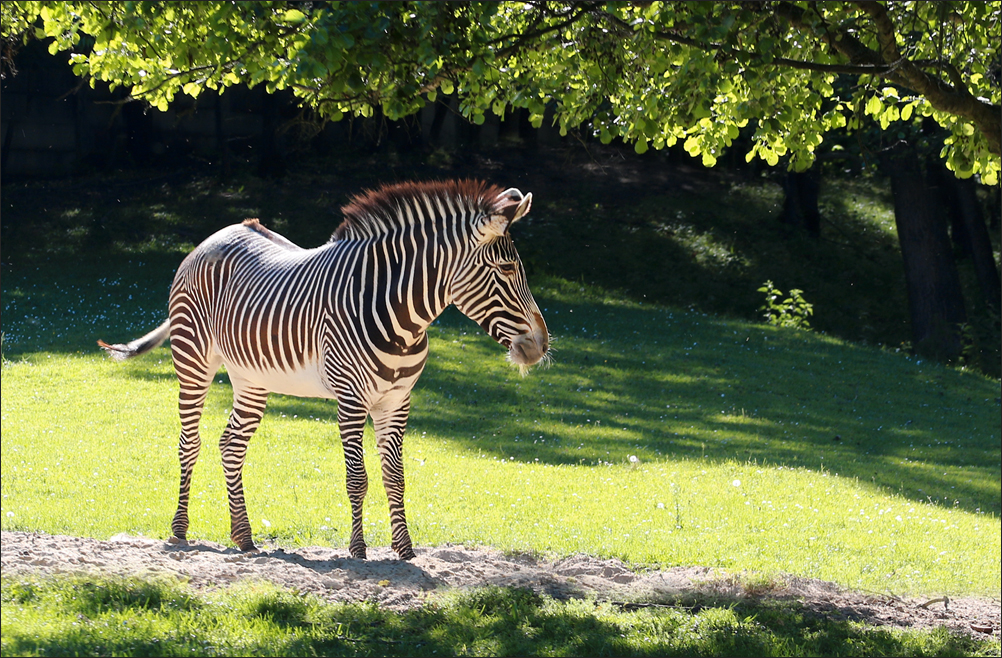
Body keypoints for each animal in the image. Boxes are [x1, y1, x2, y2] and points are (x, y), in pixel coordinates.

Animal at [98, 179, 548, 560]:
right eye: (507, 270)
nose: (541, 346)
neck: (401, 316)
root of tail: (214, 236)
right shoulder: (350, 399)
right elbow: (358, 477)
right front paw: (358, 551)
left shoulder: (397, 401)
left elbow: (395, 476)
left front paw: (405, 551)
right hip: (193, 359)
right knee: (189, 443)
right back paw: (179, 530)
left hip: (251, 378)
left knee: (231, 445)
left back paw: (244, 537)